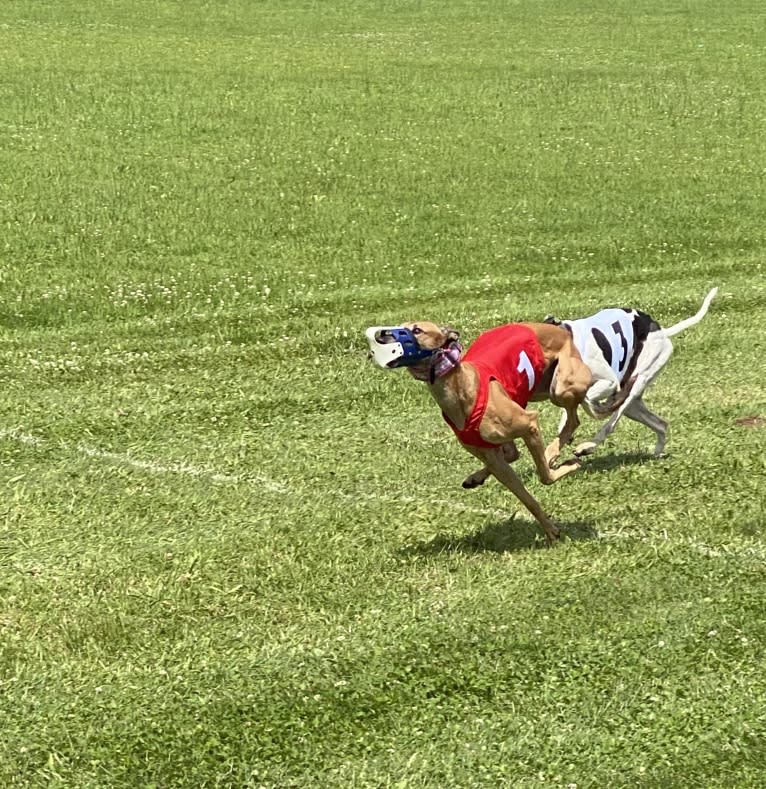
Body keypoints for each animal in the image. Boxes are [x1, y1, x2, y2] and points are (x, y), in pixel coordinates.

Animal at [544, 284, 716, 456]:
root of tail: (662, 332)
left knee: (612, 423)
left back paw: (588, 446)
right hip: (632, 401)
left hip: (638, 382)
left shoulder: (610, 382)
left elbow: (588, 398)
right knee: (661, 424)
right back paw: (657, 453)